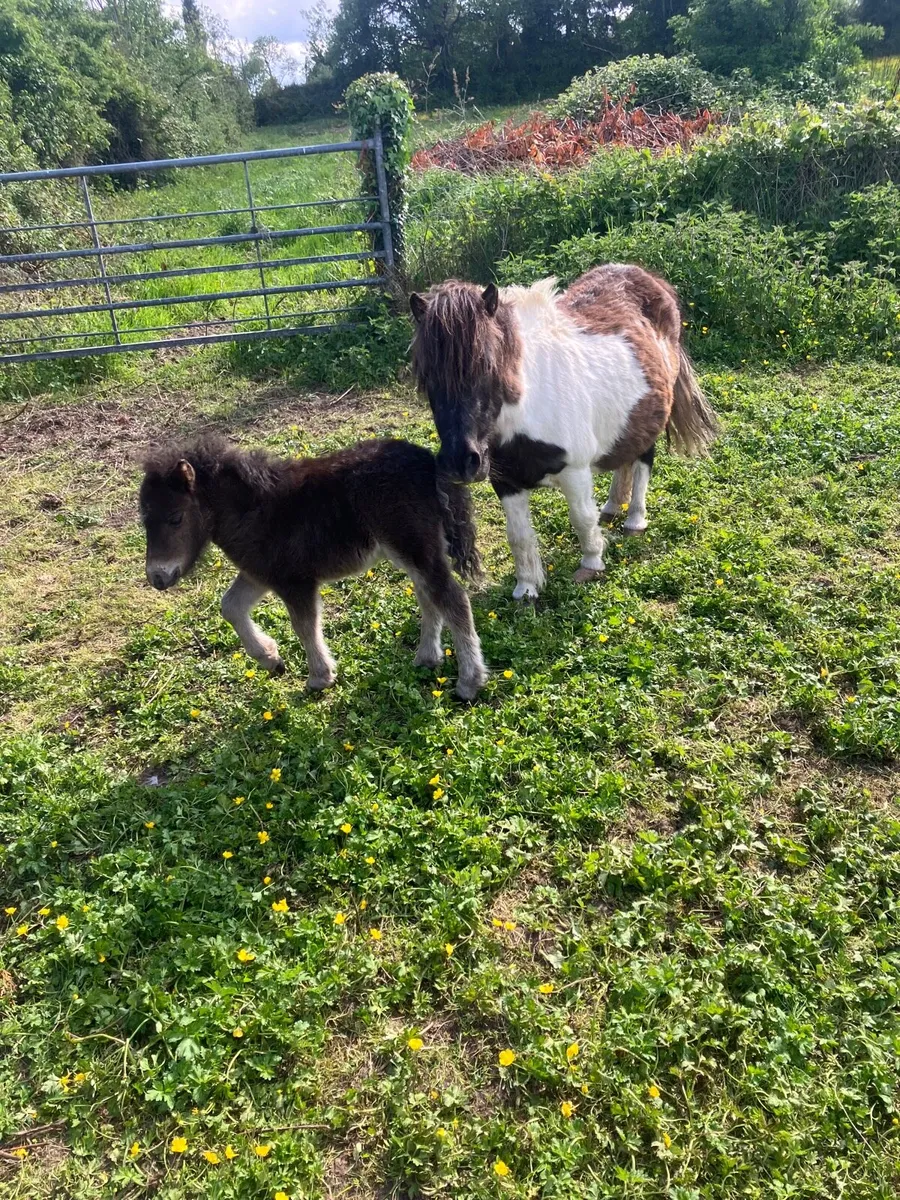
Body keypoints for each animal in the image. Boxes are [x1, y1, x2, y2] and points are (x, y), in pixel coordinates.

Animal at [138, 436, 488, 700]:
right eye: (144, 520)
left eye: (175, 518)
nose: (158, 577)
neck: (252, 510)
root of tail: (428, 462)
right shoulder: (259, 573)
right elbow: (231, 607)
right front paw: (271, 659)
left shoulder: (295, 581)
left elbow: (305, 626)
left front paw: (320, 677)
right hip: (414, 551)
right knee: (429, 596)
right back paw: (427, 658)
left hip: (415, 548)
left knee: (453, 599)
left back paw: (469, 683)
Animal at [410, 263, 718, 600]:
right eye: (426, 375)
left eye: (487, 365)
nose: (460, 462)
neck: (527, 404)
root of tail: (647, 276)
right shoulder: (505, 481)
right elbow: (518, 535)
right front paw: (526, 589)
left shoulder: (575, 471)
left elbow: (582, 518)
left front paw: (591, 564)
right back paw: (612, 507)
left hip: (654, 413)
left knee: (643, 462)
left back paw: (635, 520)